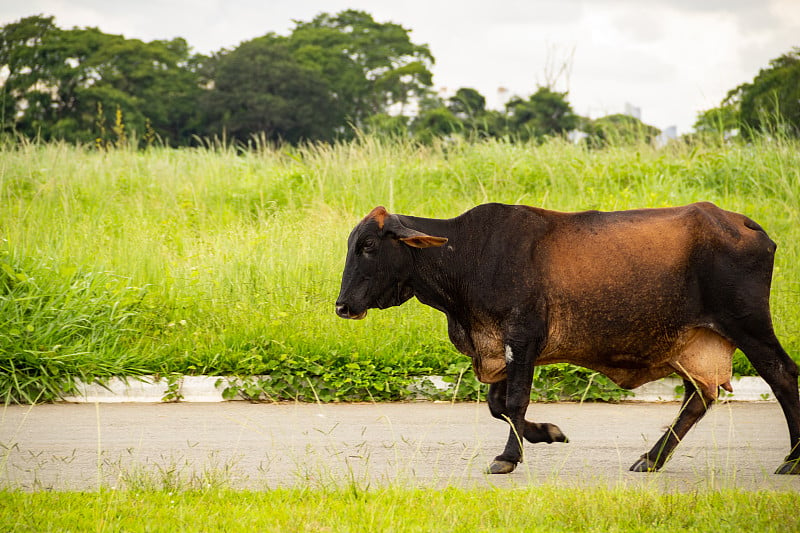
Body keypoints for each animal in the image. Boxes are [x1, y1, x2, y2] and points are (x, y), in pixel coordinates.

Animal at [332, 202, 800, 472]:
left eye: (369, 246)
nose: (342, 306)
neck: (466, 254)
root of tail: (743, 223)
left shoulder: (523, 337)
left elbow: (514, 402)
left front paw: (508, 458)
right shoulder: (501, 348)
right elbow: (497, 405)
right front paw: (547, 433)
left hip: (749, 325)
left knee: (783, 378)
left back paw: (793, 459)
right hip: (692, 343)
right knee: (699, 397)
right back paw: (650, 460)